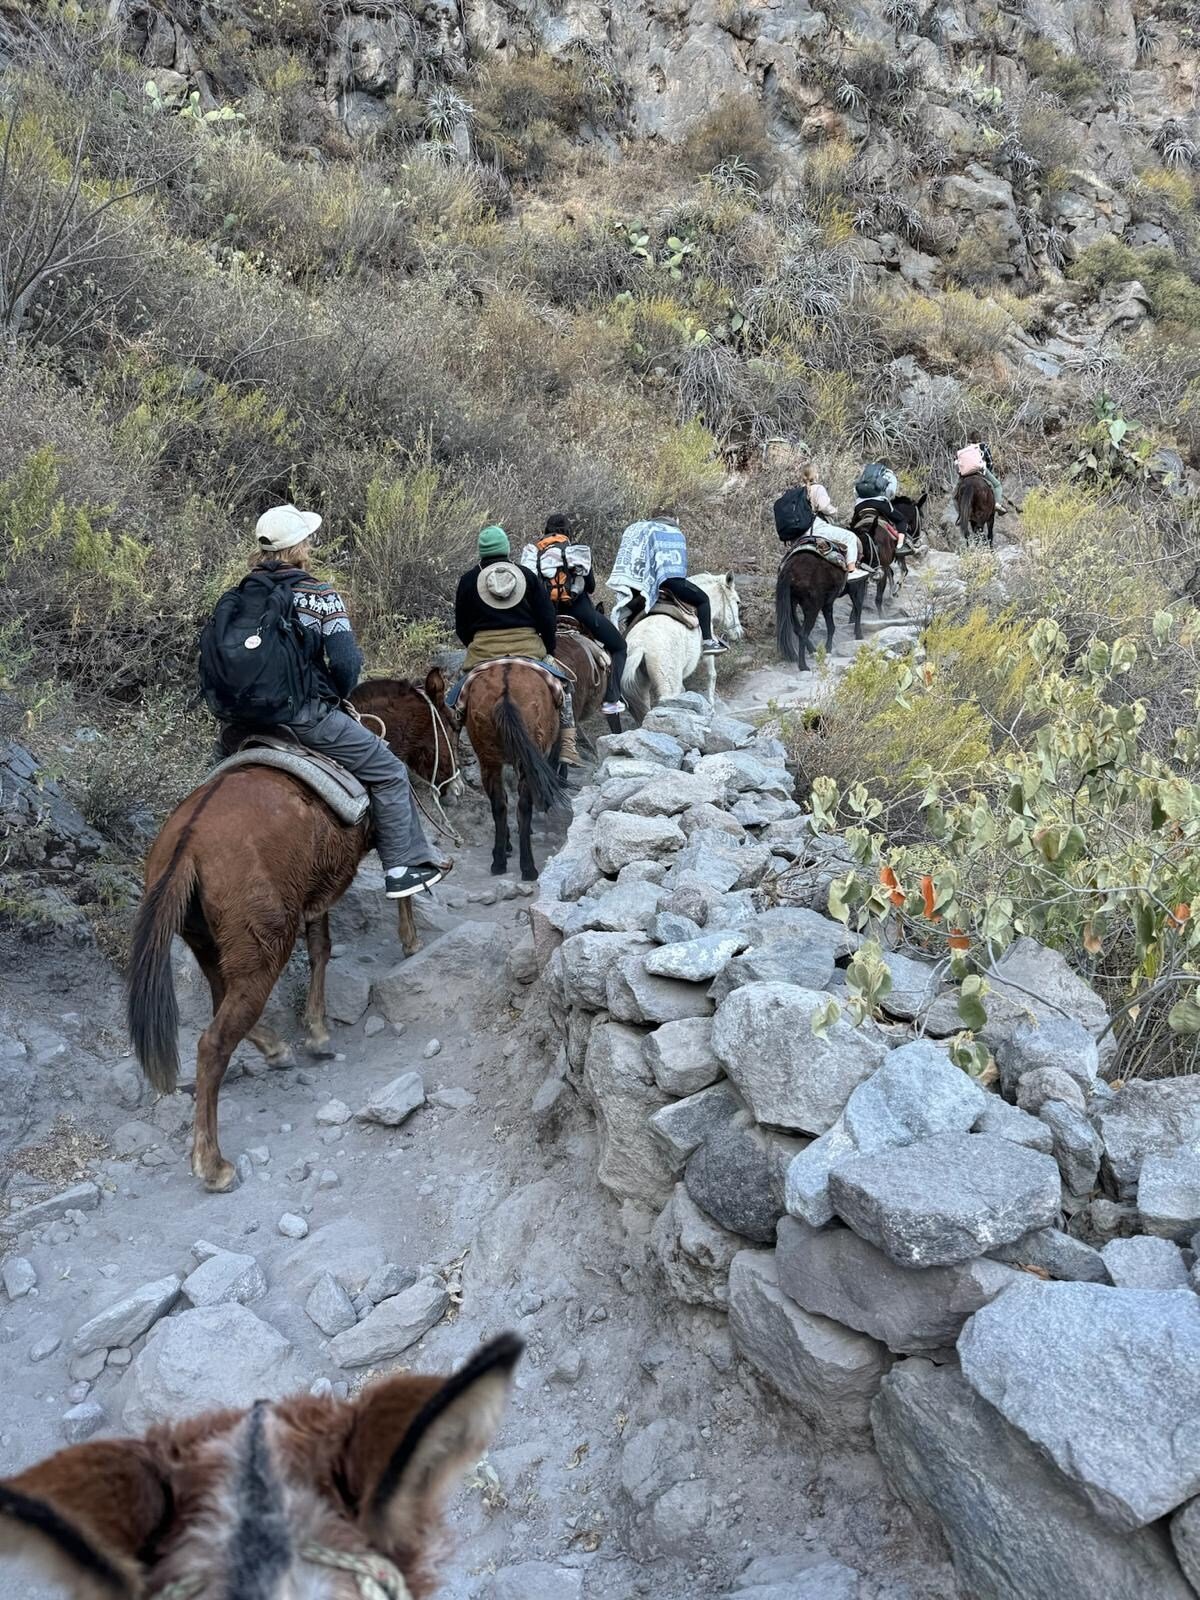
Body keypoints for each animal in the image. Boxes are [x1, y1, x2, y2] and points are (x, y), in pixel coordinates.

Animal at [127, 668, 454, 1196]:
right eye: (451, 722)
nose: (454, 779)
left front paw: (316, 1030)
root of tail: (187, 844)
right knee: (213, 1042)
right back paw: (213, 1164)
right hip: (263, 949)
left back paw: (275, 1047)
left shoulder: (317, 889)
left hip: (213, 946)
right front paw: (410, 939)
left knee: (223, 1002)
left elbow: (320, 949)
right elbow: (400, 871)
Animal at [464, 665, 569, 889]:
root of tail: (506, 690)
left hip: (488, 756)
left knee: (499, 804)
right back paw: (528, 868)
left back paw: (499, 862)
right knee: (523, 805)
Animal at [620, 572, 742, 723]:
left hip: (641, 687)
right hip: (668, 684)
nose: (739, 633)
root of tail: (640, 646)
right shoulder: (707, 654)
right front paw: (711, 709)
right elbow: (712, 675)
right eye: (737, 602)